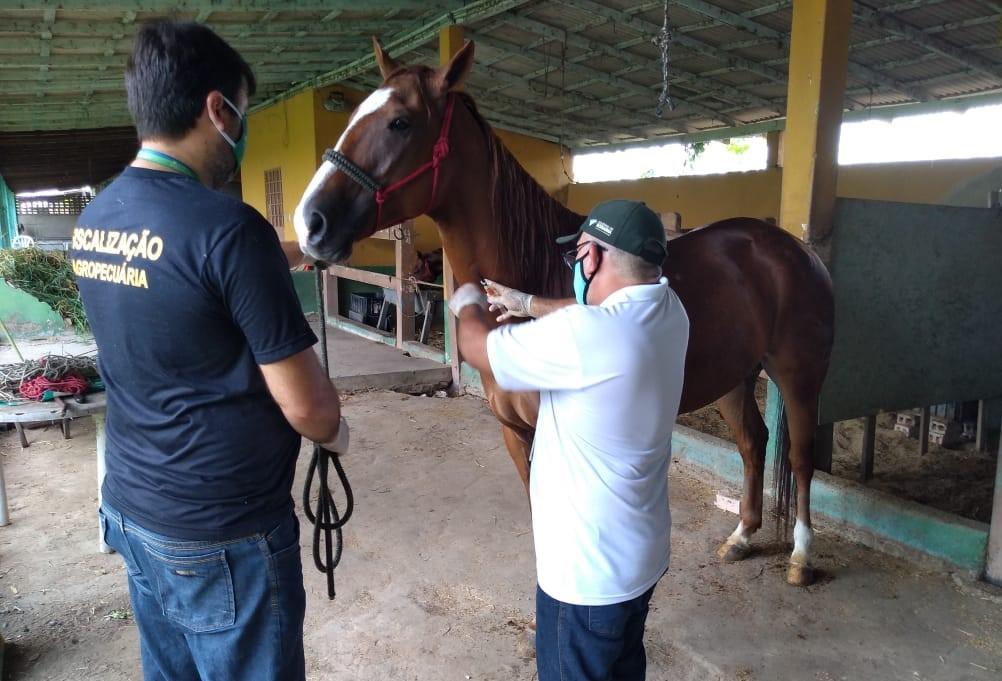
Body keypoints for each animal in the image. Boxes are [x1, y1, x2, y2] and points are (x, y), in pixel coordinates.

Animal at [292, 39, 833, 588]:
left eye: (399, 122)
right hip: (734, 377)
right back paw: (741, 537)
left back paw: (800, 557)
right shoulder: (515, 434)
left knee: (801, 456)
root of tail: (793, 247)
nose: (310, 223)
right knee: (752, 443)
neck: (534, 268)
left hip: (798, 374)